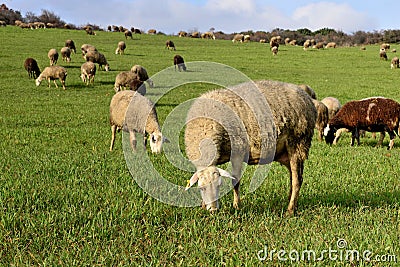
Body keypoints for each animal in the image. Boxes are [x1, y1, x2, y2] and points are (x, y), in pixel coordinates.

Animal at [183, 79, 318, 214]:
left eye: (219, 185)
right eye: (201, 188)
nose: (214, 210)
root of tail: (305, 95)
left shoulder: (237, 152)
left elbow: (235, 181)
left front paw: (236, 206)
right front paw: (203, 206)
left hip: (298, 143)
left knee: (297, 180)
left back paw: (290, 210)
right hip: (287, 153)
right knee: (293, 178)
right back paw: (292, 203)